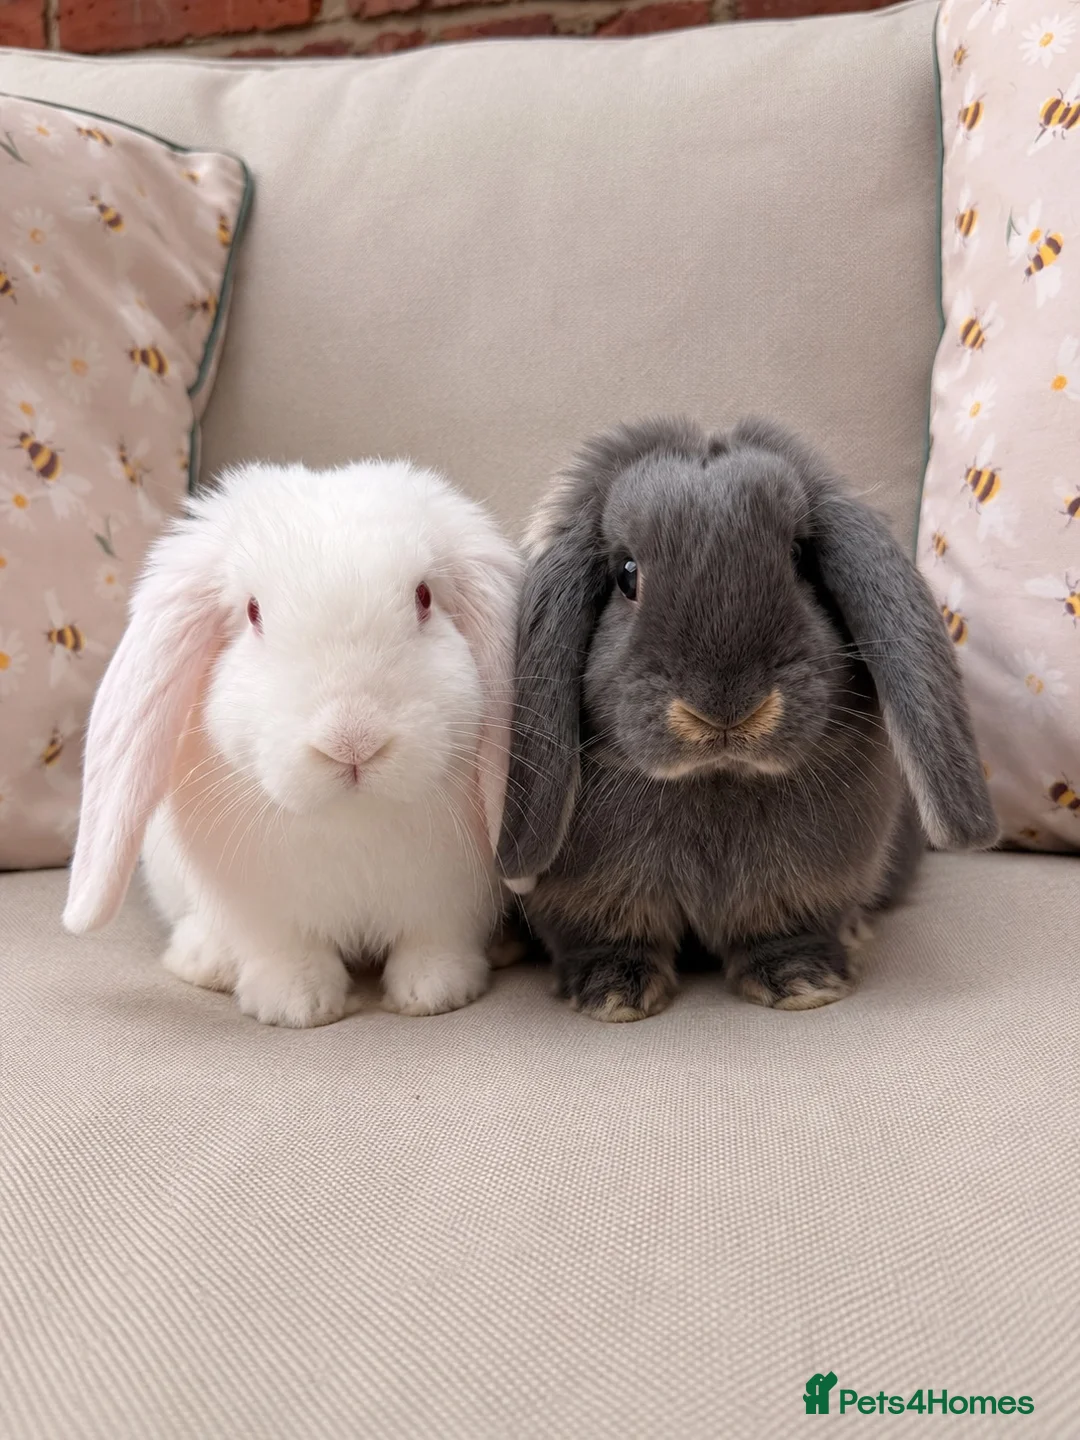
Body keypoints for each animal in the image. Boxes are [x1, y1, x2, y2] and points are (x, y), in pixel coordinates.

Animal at [63, 459, 521, 1028]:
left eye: (424, 597)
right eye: (253, 612)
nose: (353, 740)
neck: (353, 818)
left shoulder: (451, 902)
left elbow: (434, 945)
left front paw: (433, 994)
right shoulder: (262, 911)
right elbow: (287, 952)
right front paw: (297, 1006)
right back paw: (204, 961)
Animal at [496, 417, 998, 1022]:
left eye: (800, 557)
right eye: (626, 574)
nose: (725, 707)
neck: (716, 780)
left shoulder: (802, 887)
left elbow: (782, 933)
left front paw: (804, 983)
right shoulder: (592, 896)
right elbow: (606, 937)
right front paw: (612, 993)